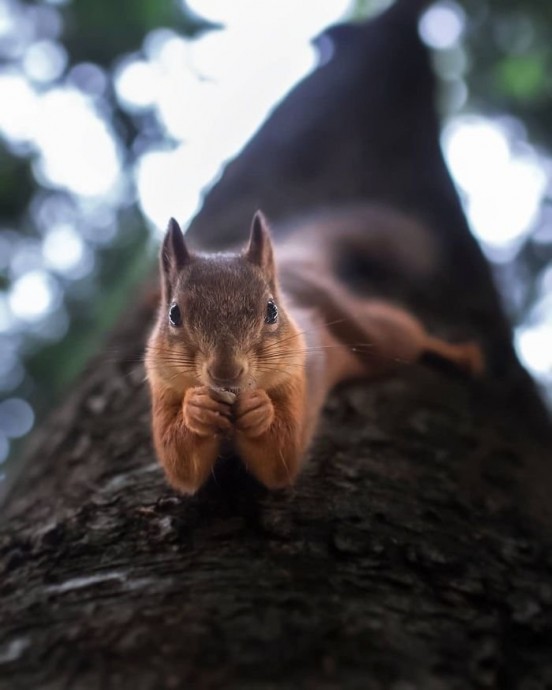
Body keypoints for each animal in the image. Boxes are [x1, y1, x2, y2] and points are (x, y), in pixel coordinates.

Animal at [147, 207, 484, 492]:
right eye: (174, 314)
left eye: (271, 311)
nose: (226, 371)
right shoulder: (163, 388)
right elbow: (180, 464)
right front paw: (197, 407)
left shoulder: (297, 379)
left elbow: (282, 457)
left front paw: (259, 409)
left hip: (376, 336)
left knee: (409, 336)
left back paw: (461, 354)